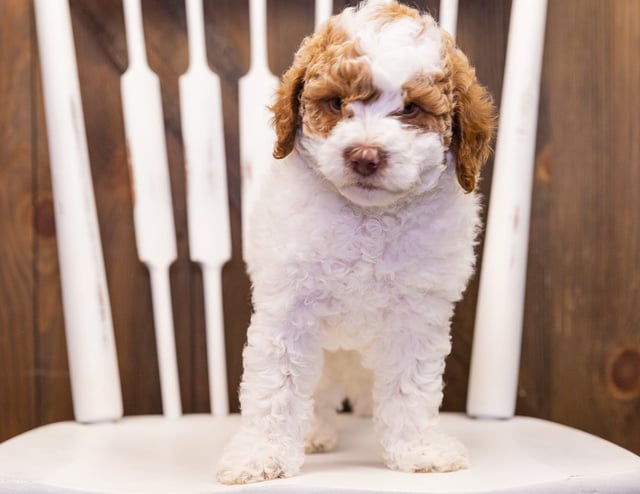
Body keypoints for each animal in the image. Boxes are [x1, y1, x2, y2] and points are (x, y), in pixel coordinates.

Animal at [218, 0, 492, 484]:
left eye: (411, 109)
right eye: (335, 102)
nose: (365, 156)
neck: (368, 221)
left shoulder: (416, 315)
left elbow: (410, 387)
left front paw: (418, 450)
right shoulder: (289, 307)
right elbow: (277, 384)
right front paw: (261, 455)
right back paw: (314, 433)